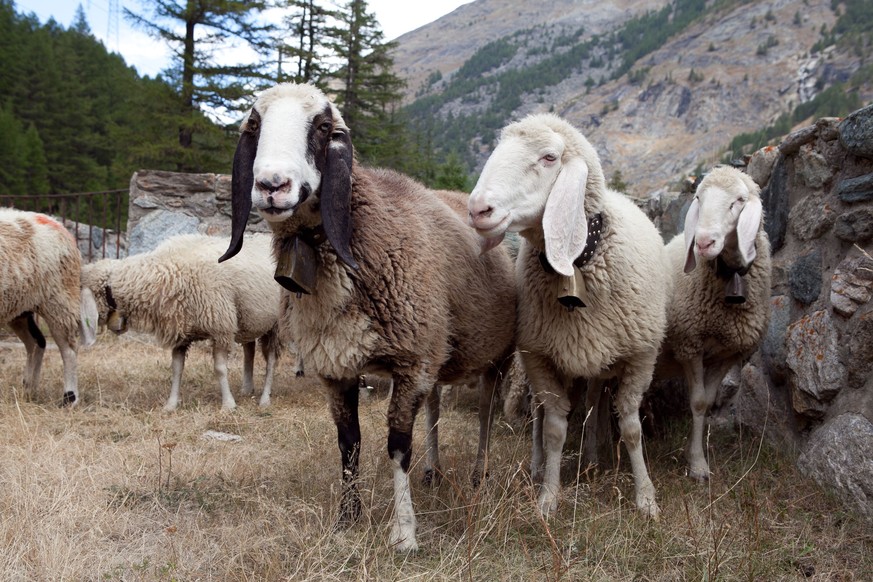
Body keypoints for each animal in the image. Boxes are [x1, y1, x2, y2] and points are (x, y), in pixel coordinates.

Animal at [0, 209, 97, 406]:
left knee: (69, 349)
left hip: (59, 301)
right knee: (36, 342)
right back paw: (29, 389)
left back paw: (69, 398)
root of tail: (57, 224)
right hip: (21, 307)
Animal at [80, 233, 282, 410]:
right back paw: (247, 389)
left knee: (271, 361)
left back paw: (265, 399)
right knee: (249, 350)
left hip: (276, 325)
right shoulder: (180, 329)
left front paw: (228, 405)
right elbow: (176, 369)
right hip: (251, 319)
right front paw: (171, 405)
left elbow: (220, 369)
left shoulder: (220, 327)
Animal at [220, 82, 516, 552]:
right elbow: (349, 444)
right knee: (435, 408)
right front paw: (348, 518)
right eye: (255, 124)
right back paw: (433, 471)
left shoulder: (412, 363)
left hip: (496, 355)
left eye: (323, 127)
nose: (271, 185)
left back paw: (478, 474)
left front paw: (405, 533)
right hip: (439, 349)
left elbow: (397, 447)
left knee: (486, 412)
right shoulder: (338, 366)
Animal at [470, 113, 668, 520]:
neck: (578, 264)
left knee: (593, 403)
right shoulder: (539, 357)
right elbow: (554, 429)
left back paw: (592, 458)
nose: (478, 209)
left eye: (549, 157)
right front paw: (548, 497)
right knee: (540, 416)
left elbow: (630, 426)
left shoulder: (641, 355)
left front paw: (646, 499)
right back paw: (538, 466)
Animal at [656, 165, 772, 484]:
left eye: (739, 200)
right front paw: (697, 464)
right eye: (698, 197)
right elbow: (697, 402)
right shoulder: (689, 344)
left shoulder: (729, 352)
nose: (703, 242)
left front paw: (692, 454)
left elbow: (707, 402)